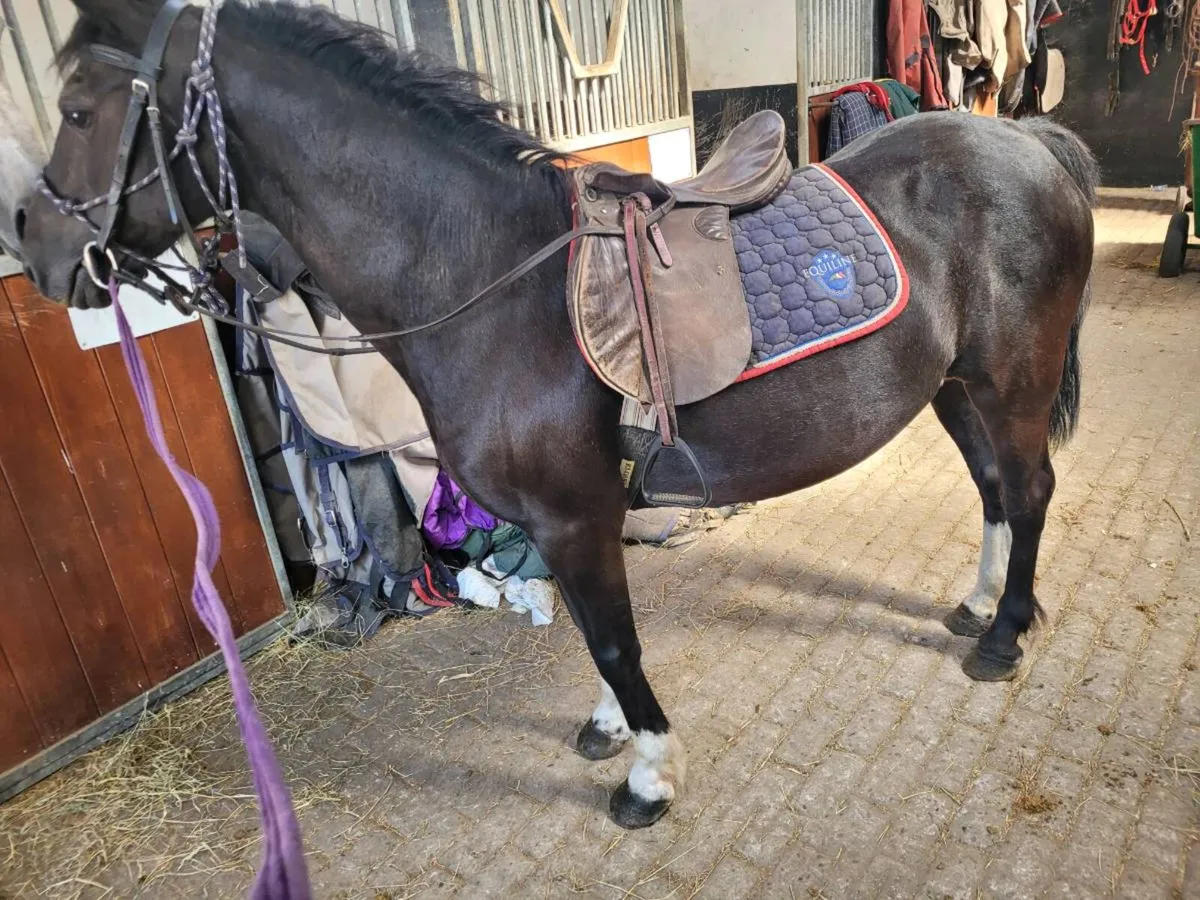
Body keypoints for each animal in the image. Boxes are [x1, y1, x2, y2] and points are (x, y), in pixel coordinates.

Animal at [16, 0, 1097, 829]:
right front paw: (609, 723)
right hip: (956, 388)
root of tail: (1027, 141)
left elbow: (613, 640)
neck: (492, 279)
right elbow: (582, 628)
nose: (34, 249)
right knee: (996, 490)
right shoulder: (560, 522)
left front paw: (649, 775)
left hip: (1011, 384)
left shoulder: (576, 515)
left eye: (77, 108)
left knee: (1031, 488)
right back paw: (977, 605)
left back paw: (1003, 637)